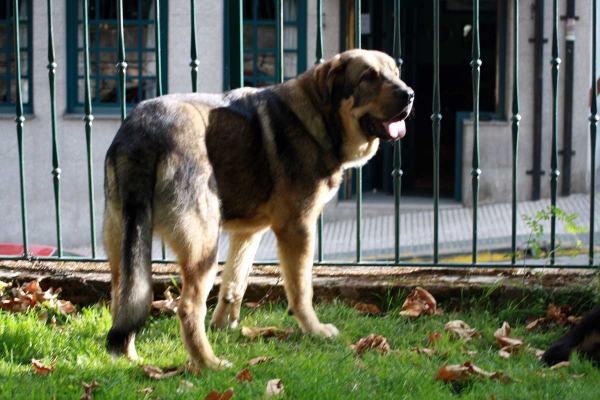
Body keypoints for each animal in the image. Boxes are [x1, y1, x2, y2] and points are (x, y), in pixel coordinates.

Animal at [103, 49, 412, 368]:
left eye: (395, 72)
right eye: (369, 77)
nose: (410, 95)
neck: (319, 115)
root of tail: (143, 131)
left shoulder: (248, 233)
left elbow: (234, 284)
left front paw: (224, 326)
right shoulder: (297, 229)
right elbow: (302, 291)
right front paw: (314, 330)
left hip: (124, 244)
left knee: (124, 300)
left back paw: (130, 357)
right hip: (203, 244)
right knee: (188, 308)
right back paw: (209, 363)